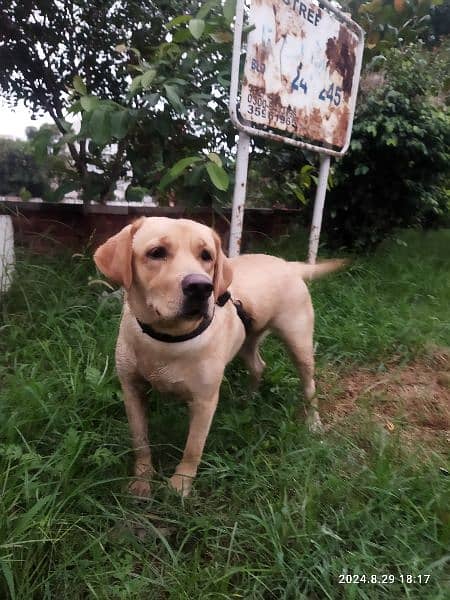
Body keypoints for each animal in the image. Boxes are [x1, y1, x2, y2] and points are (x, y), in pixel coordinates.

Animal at [92, 217, 344, 496]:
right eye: (156, 252)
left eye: (206, 255)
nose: (201, 287)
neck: (167, 339)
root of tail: (288, 264)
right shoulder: (131, 390)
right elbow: (140, 441)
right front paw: (142, 479)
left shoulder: (204, 401)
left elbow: (193, 447)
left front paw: (180, 484)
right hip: (247, 339)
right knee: (259, 366)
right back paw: (248, 399)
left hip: (299, 343)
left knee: (309, 384)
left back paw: (313, 423)